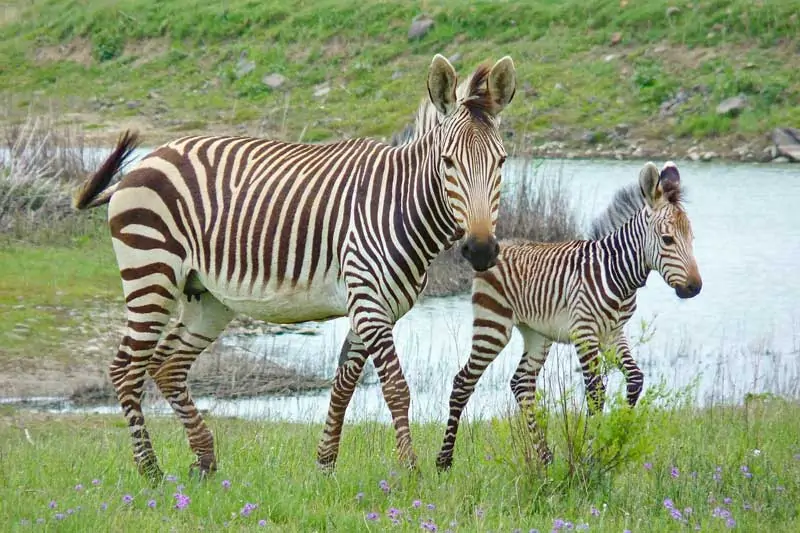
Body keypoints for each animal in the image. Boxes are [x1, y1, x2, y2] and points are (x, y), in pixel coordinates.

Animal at [71, 54, 517, 482]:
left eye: (501, 162)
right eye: (448, 162)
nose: (480, 250)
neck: (399, 204)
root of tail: (145, 161)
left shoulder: (374, 307)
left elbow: (343, 384)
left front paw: (325, 465)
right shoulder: (370, 303)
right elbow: (395, 387)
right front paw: (410, 470)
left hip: (207, 297)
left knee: (167, 366)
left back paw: (204, 461)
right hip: (152, 274)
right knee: (126, 369)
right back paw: (150, 470)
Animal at [435, 161, 702, 470]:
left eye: (692, 238)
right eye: (668, 239)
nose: (694, 288)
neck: (617, 272)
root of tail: (497, 246)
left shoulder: (613, 333)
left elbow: (635, 379)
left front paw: (618, 438)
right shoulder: (584, 332)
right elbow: (596, 392)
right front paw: (592, 454)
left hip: (537, 334)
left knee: (522, 384)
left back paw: (546, 458)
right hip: (493, 324)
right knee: (463, 381)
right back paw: (443, 461)